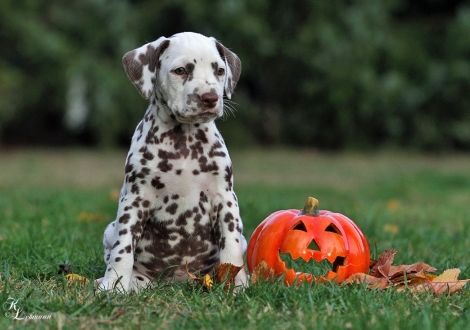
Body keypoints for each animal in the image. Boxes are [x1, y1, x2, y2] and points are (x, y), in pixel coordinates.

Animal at [96, 32, 250, 292]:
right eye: (180, 70)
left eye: (219, 71)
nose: (210, 98)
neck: (183, 140)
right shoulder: (135, 199)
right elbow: (123, 249)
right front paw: (114, 285)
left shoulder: (225, 199)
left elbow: (230, 248)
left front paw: (235, 285)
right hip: (110, 230)